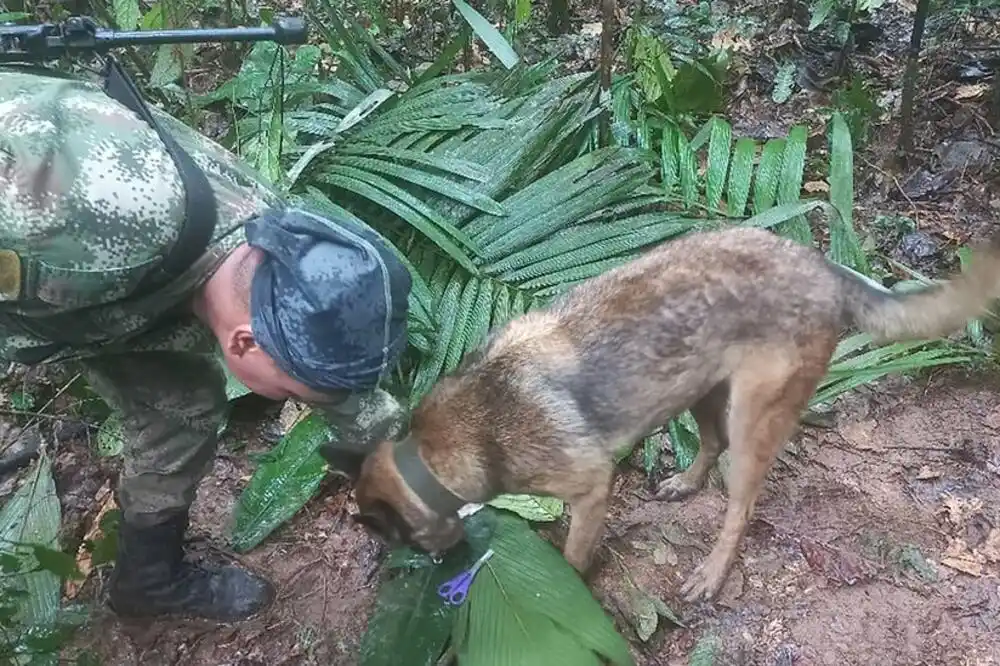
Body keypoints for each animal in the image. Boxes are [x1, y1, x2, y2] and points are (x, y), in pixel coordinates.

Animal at [328, 224, 1000, 600]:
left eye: (398, 539)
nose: (437, 566)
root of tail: (824, 266)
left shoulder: (590, 490)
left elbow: (573, 556)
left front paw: (568, 589)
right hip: (697, 387)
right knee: (710, 443)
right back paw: (684, 482)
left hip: (752, 418)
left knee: (740, 504)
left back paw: (713, 572)